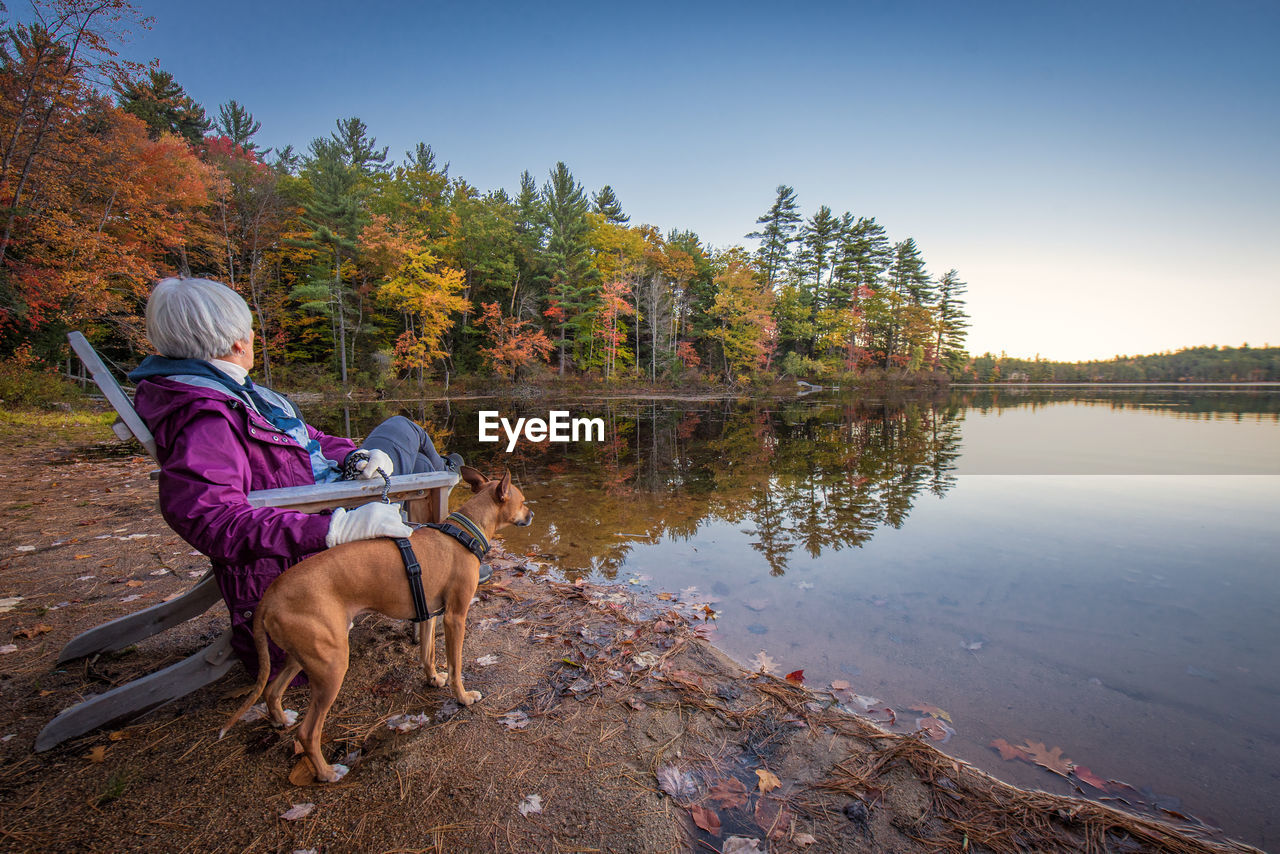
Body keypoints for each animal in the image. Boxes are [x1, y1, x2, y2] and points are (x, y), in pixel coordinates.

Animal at [222, 468, 532, 783]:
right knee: (307, 733)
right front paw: (463, 697)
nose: (531, 514)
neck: (464, 531)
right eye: (522, 502)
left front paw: (433, 678)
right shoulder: (455, 617)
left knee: (272, 691)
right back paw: (327, 772)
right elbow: (456, 666)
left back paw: (281, 719)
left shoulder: (430, 615)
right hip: (331, 666)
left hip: (306, 655)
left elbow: (427, 654)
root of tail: (269, 596)